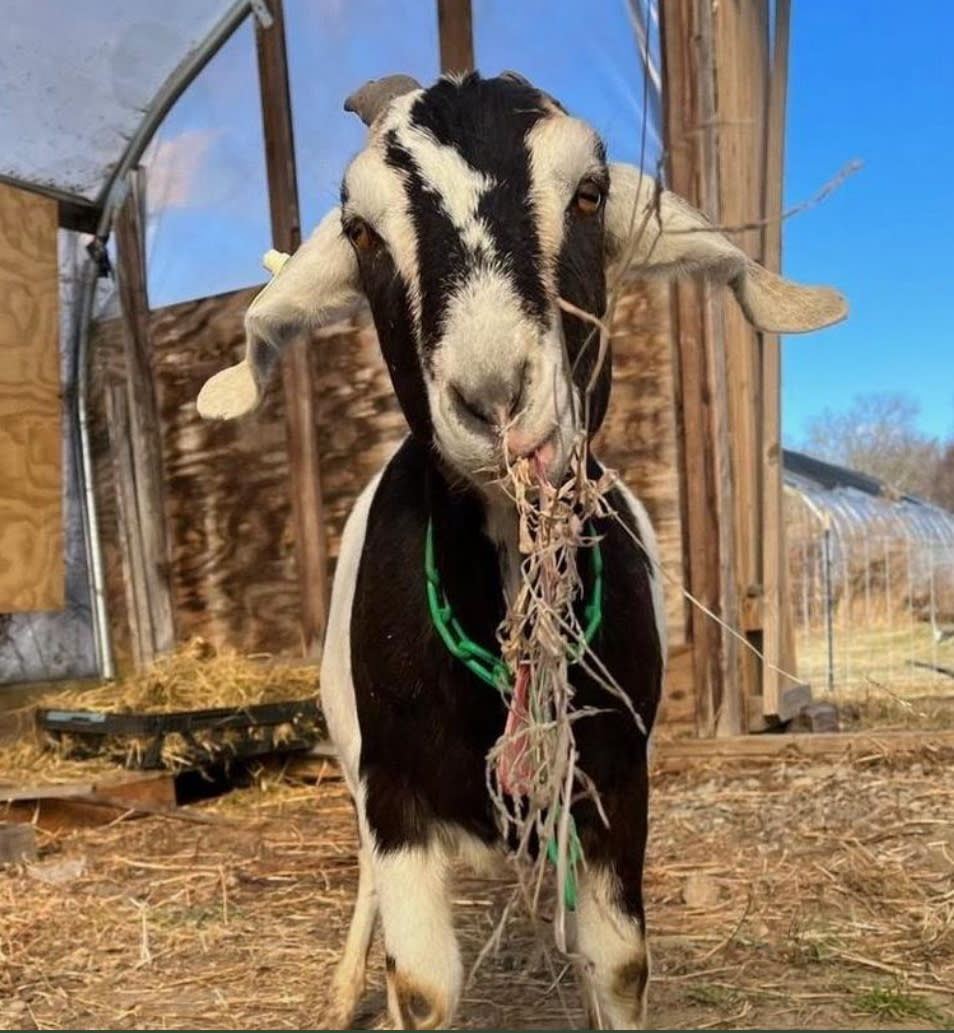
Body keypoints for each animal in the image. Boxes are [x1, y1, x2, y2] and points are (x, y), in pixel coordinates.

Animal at [197, 71, 846, 1029]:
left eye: (589, 193)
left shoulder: (612, 778)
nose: (497, 396)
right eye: (360, 229)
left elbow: (620, 966)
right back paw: (347, 987)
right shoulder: (394, 793)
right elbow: (422, 984)